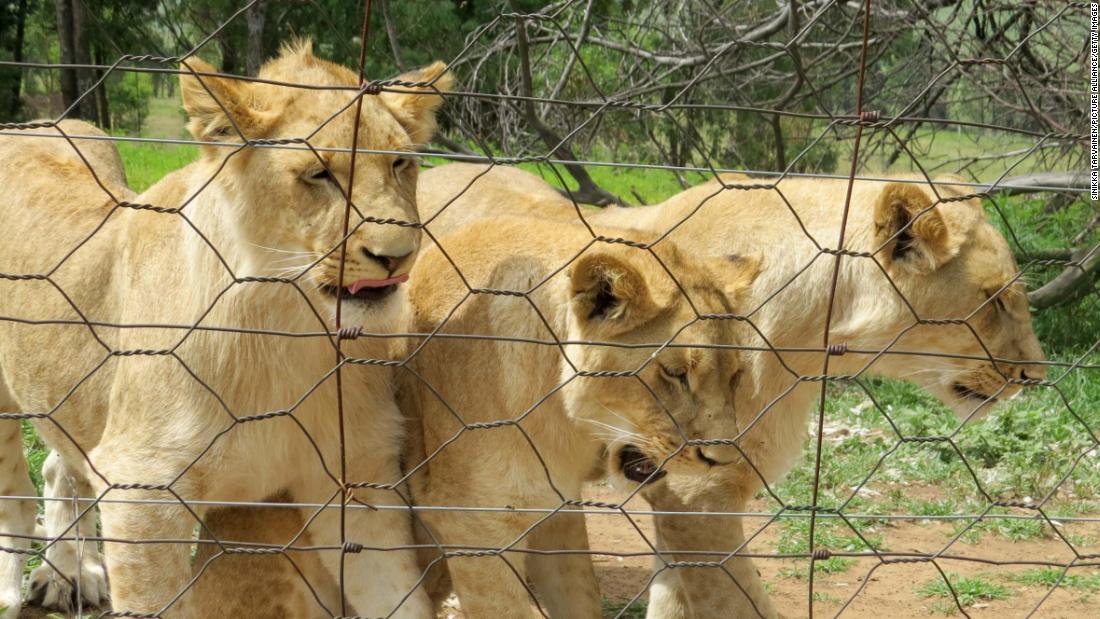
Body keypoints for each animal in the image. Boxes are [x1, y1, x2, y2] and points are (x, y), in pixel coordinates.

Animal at [0, 41, 451, 615]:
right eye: (319, 174)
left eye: (399, 163)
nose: (397, 256)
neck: (287, 329)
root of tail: (28, 125)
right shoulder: (142, 491)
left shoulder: (357, 477)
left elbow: (399, 596)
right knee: (14, 498)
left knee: (61, 467)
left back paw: (67, 574)